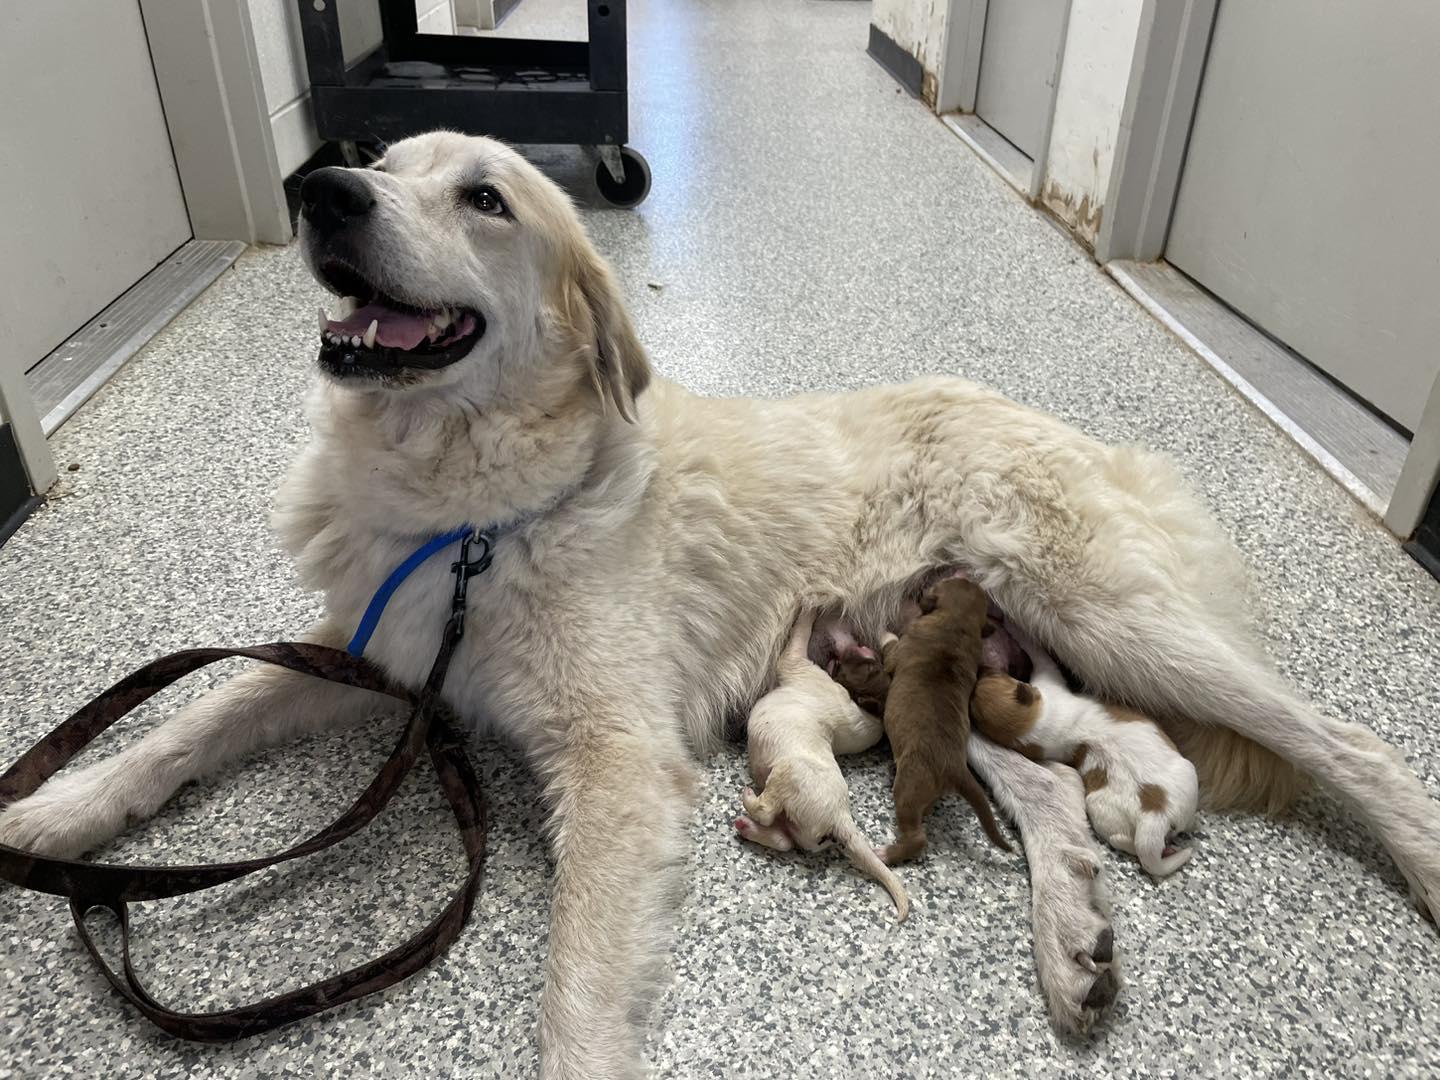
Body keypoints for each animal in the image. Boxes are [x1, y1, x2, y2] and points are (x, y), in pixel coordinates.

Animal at [737, 613, 904, 915]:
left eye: (867, 661)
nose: (853, 633)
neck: (867, 710)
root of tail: (840, 818)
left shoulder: (797, 663)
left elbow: (799, 636)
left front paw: (808, 609)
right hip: (800, 827)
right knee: (784, 840)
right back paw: (746, 827)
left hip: (787, 777)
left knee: (766, 811)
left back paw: (749, 801)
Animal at [852, 578, 1013, 869]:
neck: (957, 622)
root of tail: (956, 768)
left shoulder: (898, 650)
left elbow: (890, 644)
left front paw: (883, 630)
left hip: (908, 788)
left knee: (917, 838)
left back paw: (886, 854)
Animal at [973, 633, 1198, 881]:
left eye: (991, 676)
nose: (980, 669)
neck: (1033, 728)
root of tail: (1154, 815)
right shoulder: (1048, 681)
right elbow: (1041, 656)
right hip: (1188, 775)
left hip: (1105, 815)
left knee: (1122, 840)